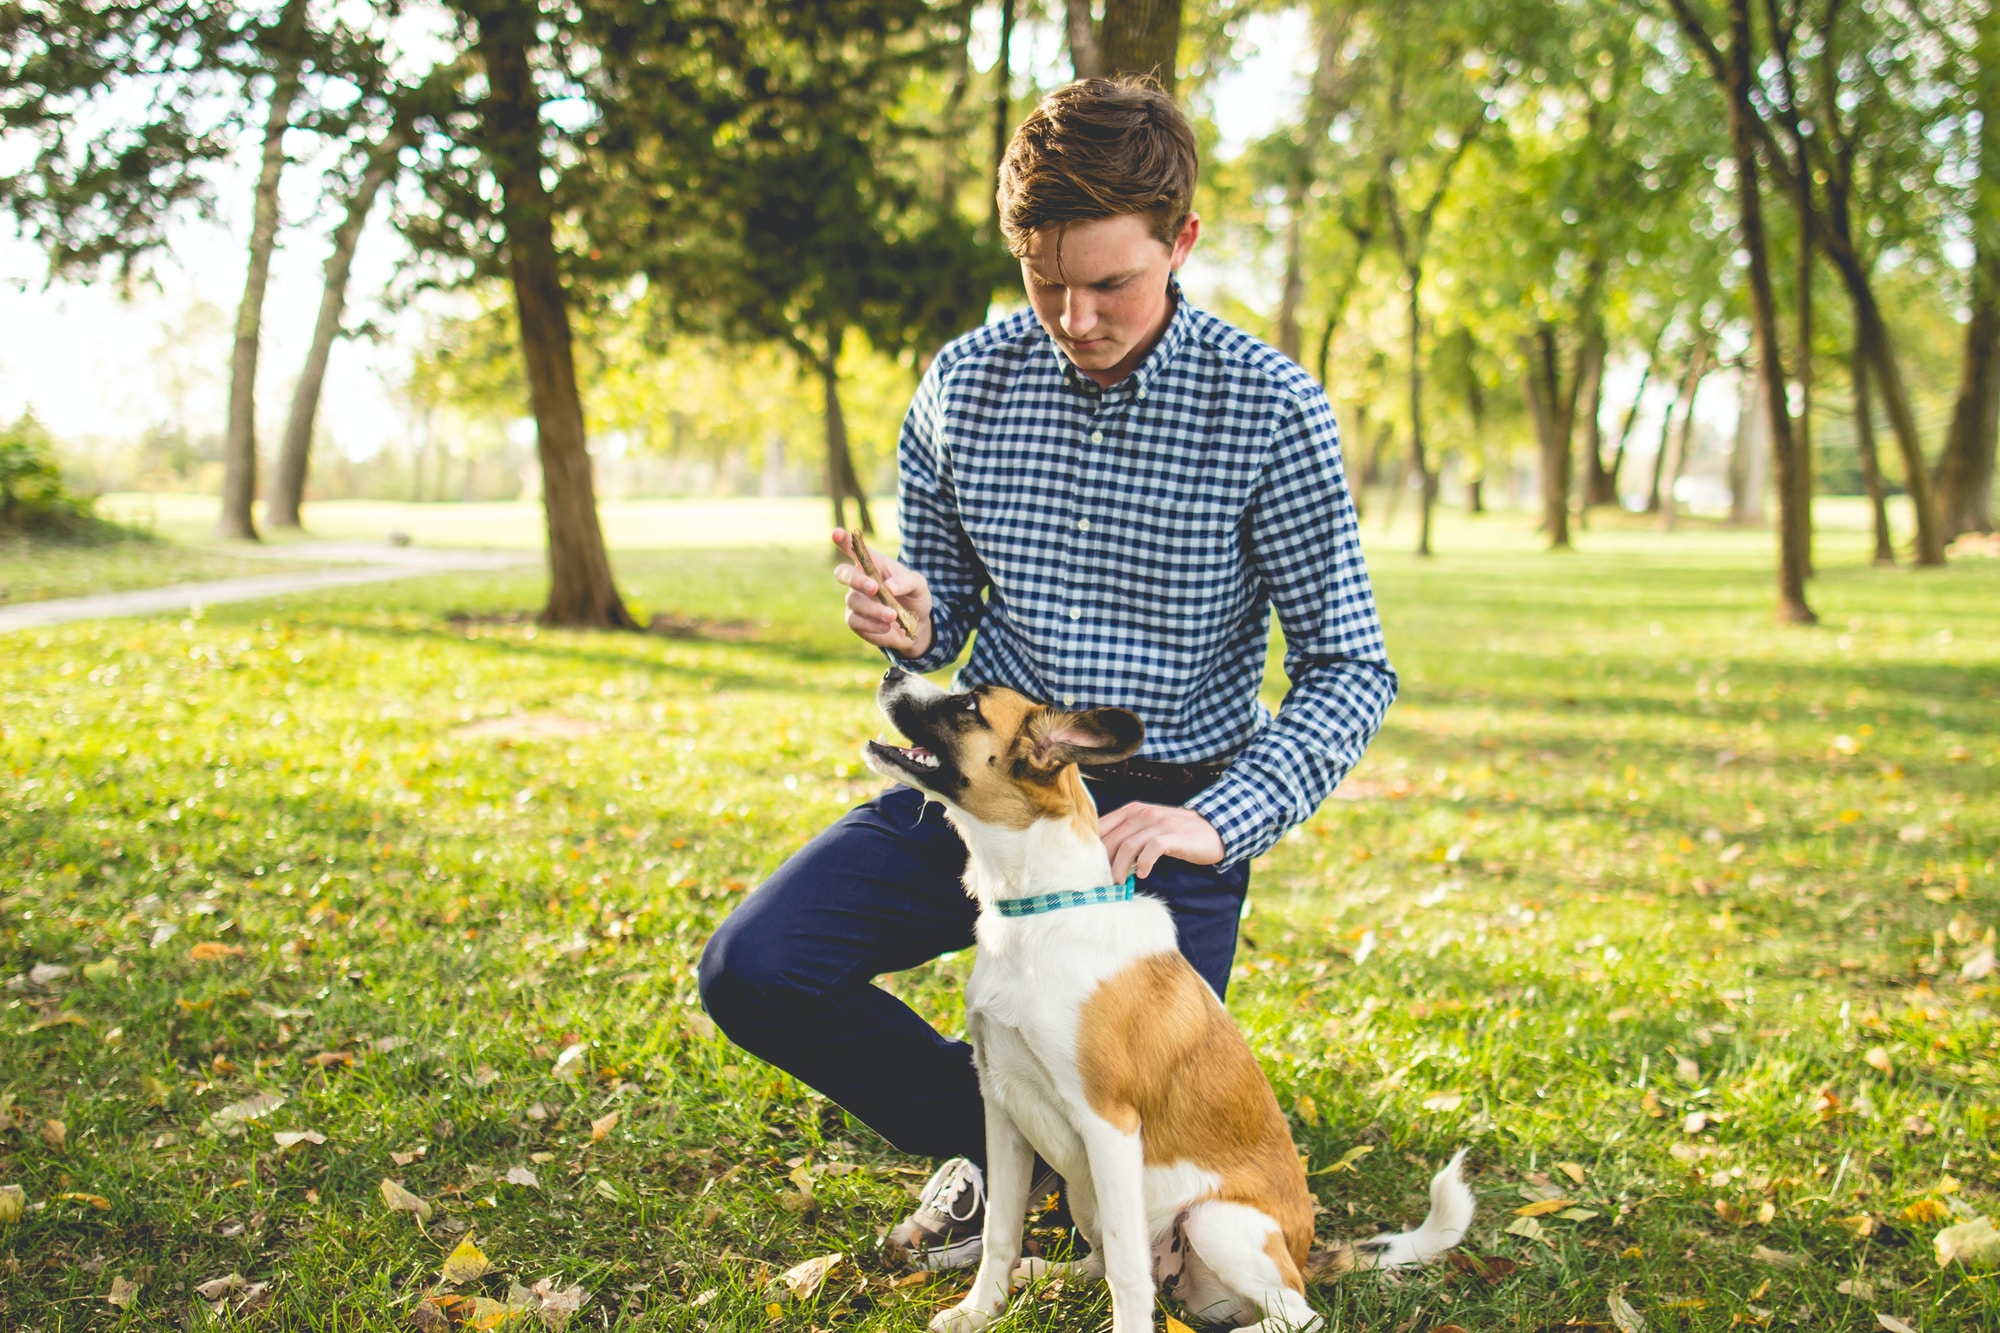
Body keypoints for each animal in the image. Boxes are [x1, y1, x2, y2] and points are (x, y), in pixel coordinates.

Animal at [868, 664, 1480, 1328]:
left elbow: (1129, 1276)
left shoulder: (1108, 1126)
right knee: (1105, 1260)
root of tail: (1303, 1255)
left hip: (1216, 1221)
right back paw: (1046, 1271)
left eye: (970, 704)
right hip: (1088, 1194)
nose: (891, 668)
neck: (1042, 914)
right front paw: (980, 1310)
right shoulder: (1003, 1110)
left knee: (1294, 1314)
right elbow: (1002, 1234)